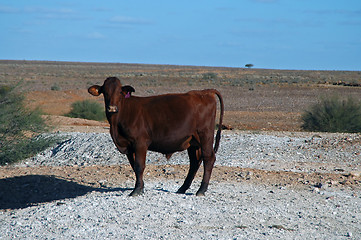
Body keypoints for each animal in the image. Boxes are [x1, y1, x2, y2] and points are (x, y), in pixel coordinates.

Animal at [88, 78, 222, 196]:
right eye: (105, 92)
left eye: (120, 92)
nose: (112, 108)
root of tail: (205, 92)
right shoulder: (129, 146)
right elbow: (134, 166)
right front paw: (141, 187)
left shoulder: (140, 143)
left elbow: (139, 166)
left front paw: (136, 190)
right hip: (193, 141)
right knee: (195, 162)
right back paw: (182, 188)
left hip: (205, 135)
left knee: (208, 158)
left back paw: (201, 190)